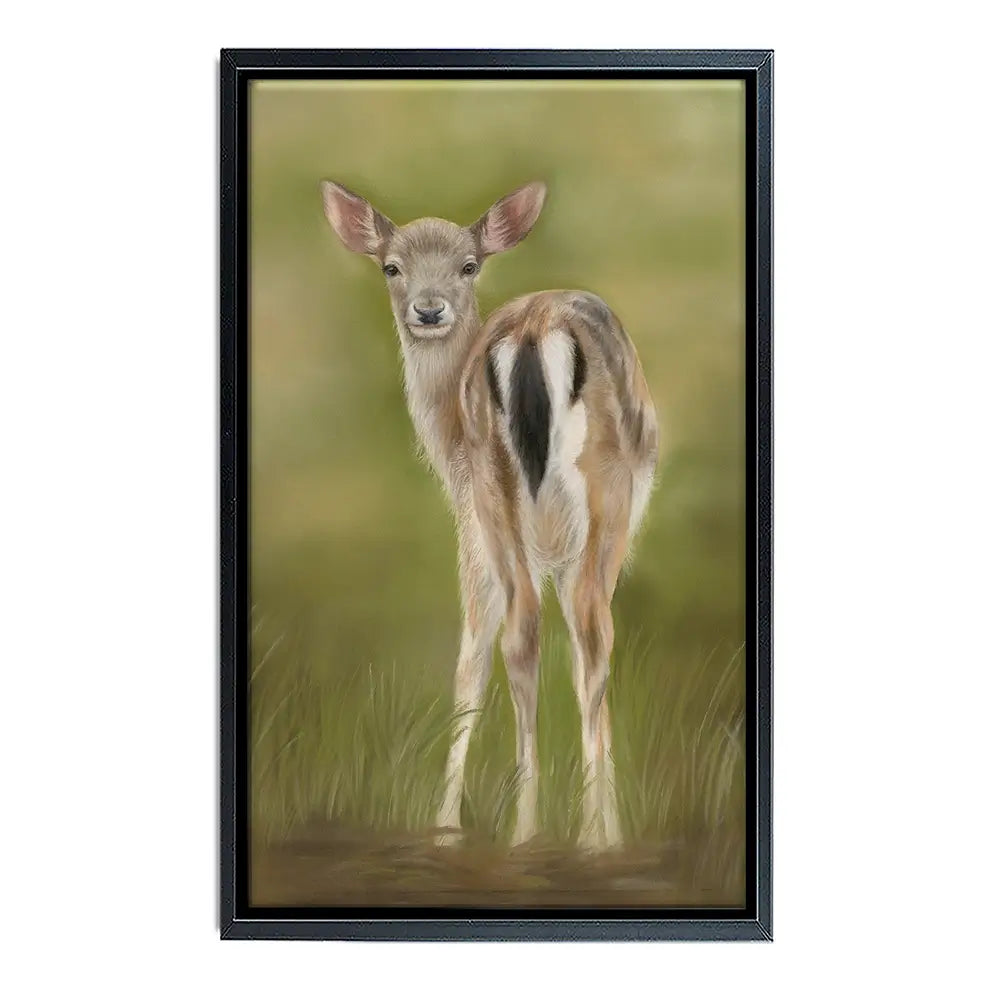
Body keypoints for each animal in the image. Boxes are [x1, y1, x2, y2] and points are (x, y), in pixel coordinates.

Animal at [321, 179, 658, 849]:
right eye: (391, 266)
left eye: (468, 265)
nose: (428, 311)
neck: (445, 443)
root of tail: (532, 332)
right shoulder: (487, 532)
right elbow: (487, 659)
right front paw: (449, 825)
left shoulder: (489, 529)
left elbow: (487, 656)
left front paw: (447, 825)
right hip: (583, 499)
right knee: (579, 632)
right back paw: (570, 837)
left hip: (505, 494)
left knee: (537, 631)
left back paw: (536, 831)